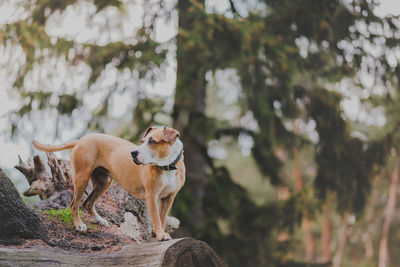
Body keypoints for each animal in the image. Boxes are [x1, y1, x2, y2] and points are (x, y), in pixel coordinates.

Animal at [32, 126, 184, 242]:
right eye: (142, 141)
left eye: (152, 141)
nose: (133, 153)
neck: (167, 167)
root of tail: (82, 139)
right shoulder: (151, 195)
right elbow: (157, 218)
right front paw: (160, 235)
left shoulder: (168, 198)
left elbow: (162, 218)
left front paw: (159, 234)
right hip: (82, 178)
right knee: (74, 204)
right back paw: (79, 225)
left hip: (104, 182)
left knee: (87, 203)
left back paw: (100, 220)